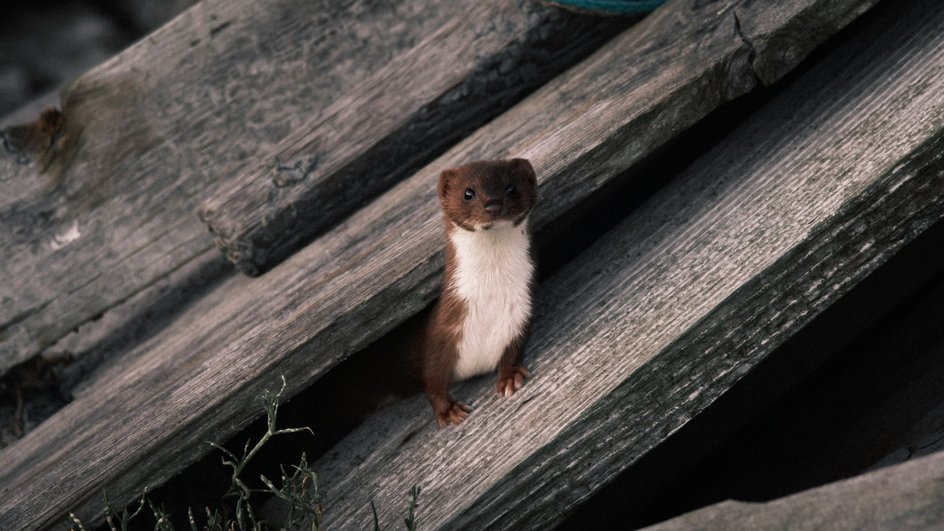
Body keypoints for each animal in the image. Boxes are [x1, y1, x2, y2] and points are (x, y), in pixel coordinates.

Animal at [414, 158, 536, 428]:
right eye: (468, 193)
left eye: (511, 187)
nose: (493, 204)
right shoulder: (442, 329)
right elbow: (431, 375)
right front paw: (448, 409)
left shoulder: (520, 312)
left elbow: (512, 350)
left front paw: (510, 377)